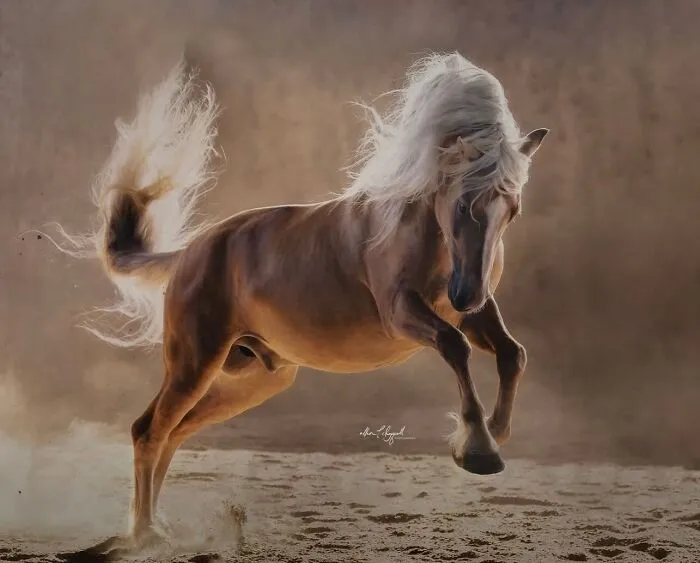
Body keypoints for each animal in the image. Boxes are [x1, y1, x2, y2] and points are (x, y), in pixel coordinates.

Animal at [53, 52, 548, 555]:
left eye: (511, 210)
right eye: (464, 203)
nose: (465, 293)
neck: (421, 231)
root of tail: (189, 251)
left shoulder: (473, 315)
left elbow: (513, 353)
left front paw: (494, 433)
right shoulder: (402, 313)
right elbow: (456, 347)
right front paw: (478, 449)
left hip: (252, 380)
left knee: (175, 432)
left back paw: (159, 530)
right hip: (194, 362)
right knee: (149, 430)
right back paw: (143, 536)